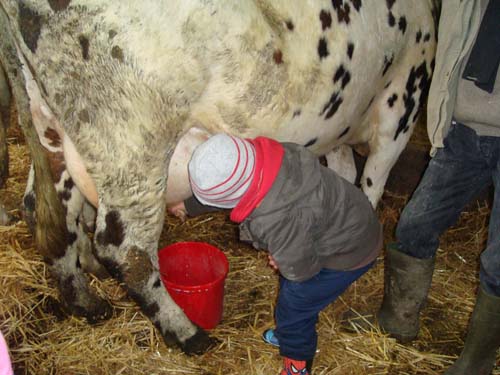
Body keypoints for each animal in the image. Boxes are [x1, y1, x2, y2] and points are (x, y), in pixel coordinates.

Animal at [0, 0, 438, 356]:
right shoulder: (402, 101)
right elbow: (370, 185)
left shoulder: (340, 127)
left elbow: (344, 172)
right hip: (132, 142)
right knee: (126, 250)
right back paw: (187, 333)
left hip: (52, 128)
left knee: (45, 213)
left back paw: (84, 302)